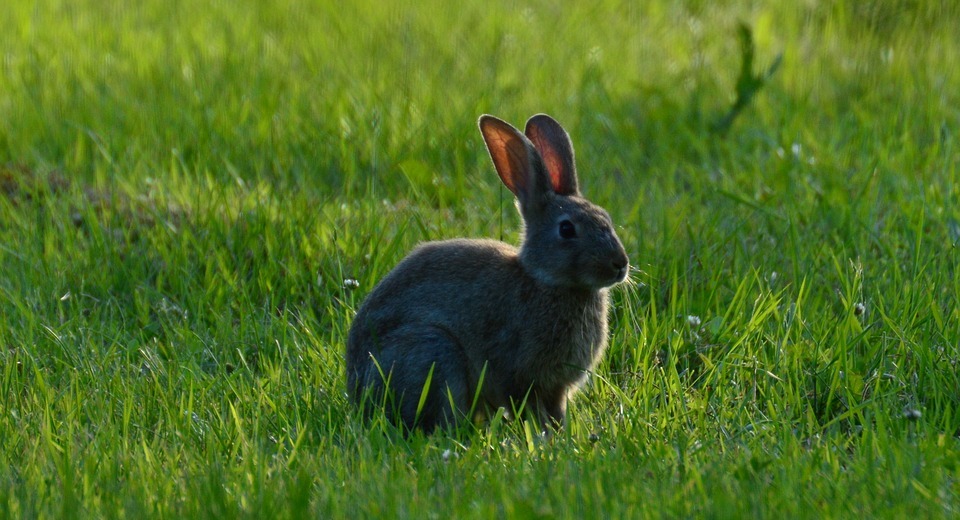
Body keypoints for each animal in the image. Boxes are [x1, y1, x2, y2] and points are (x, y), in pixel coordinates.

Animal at [344, 114, 632, 434]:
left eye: (606, 219)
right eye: (567, 229)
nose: (620, 264)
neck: (544, 280)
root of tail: (357, 391)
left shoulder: (556, 388)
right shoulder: (517, 371)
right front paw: (544, 436)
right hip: (432, 351)